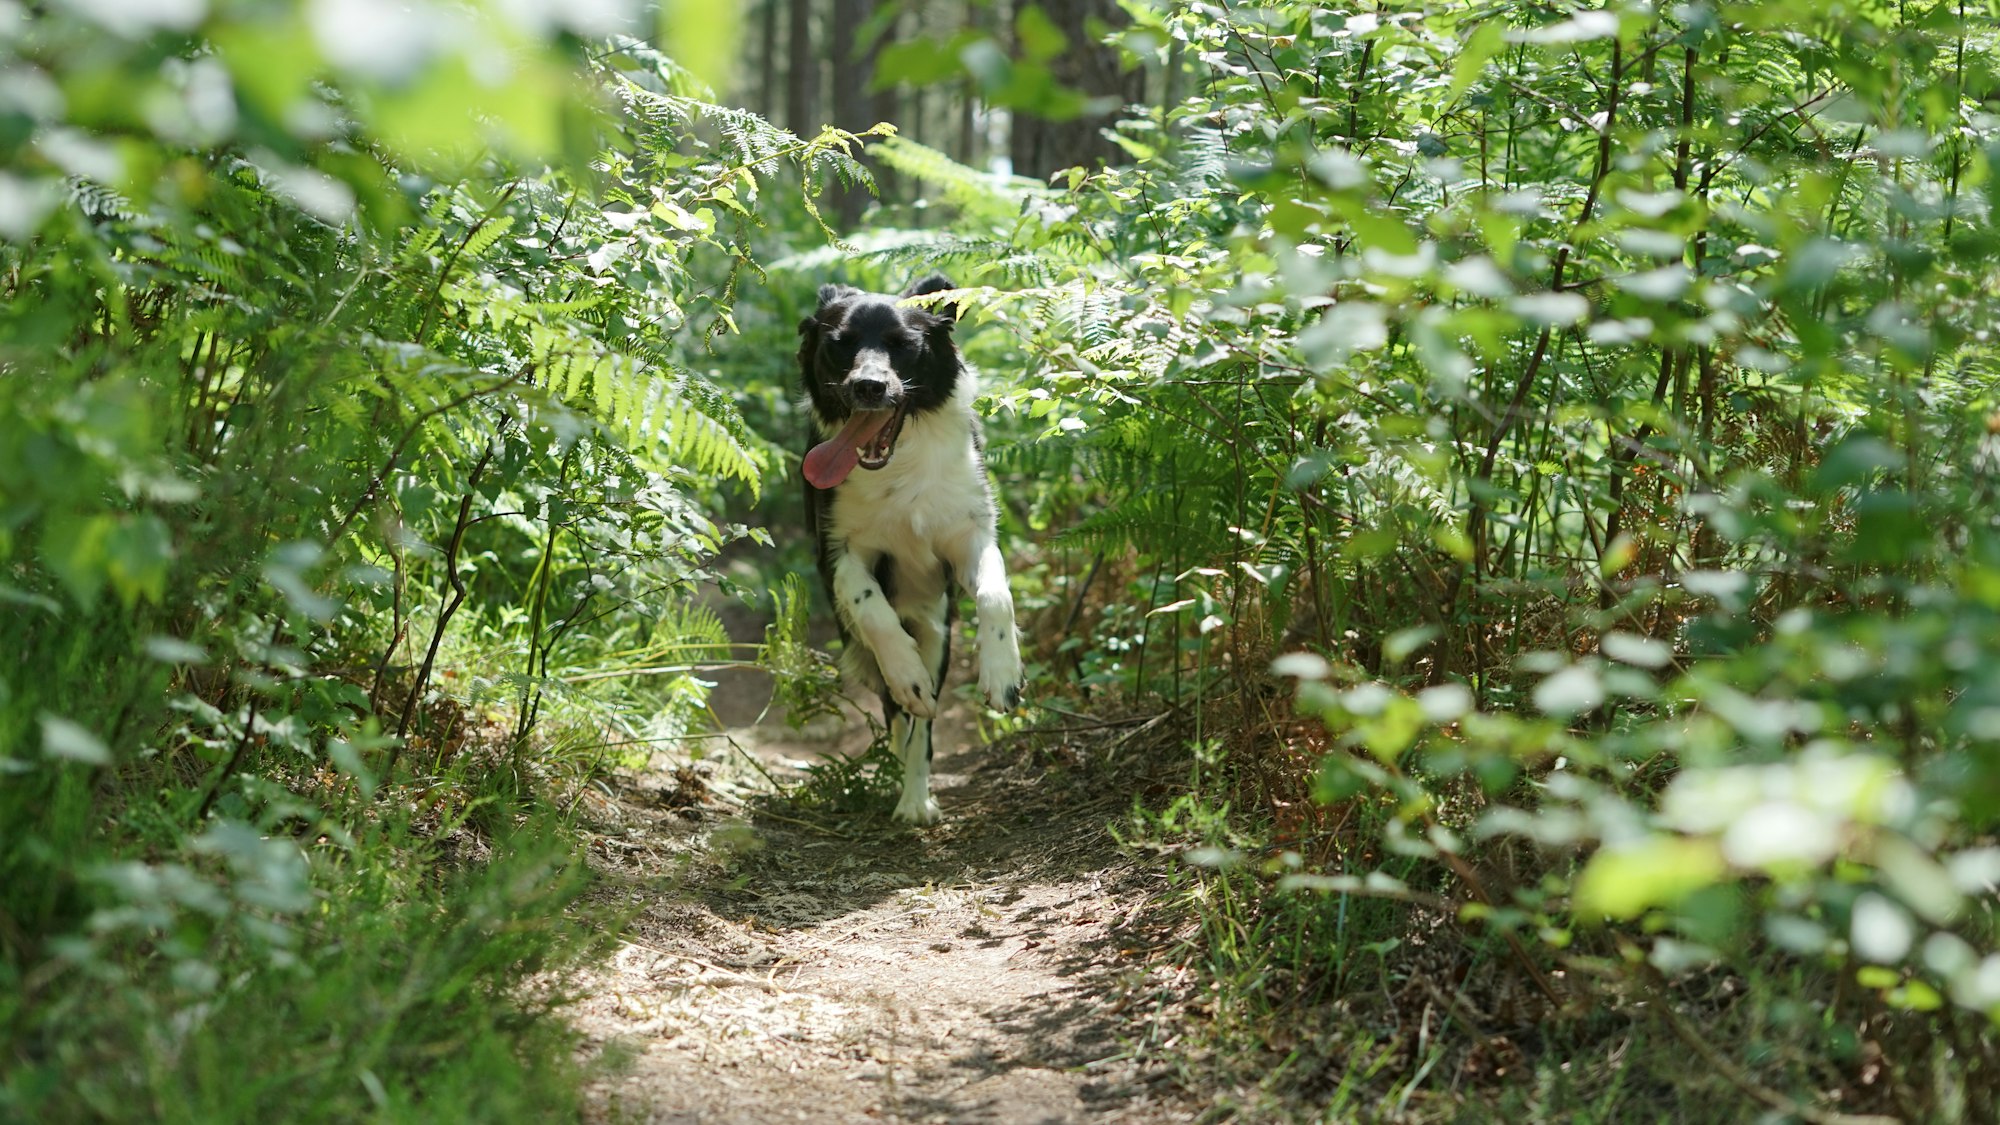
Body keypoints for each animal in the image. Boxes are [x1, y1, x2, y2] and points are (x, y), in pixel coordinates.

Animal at [796, 274, 1024, 820]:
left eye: (903, 345)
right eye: (840, 344)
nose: (868, 387)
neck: (898, 466)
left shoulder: (968, 537)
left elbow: (995, 595)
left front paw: (1003, 674)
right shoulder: (839, 554)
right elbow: (873, 610)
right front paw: (907, 674)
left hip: (938, 627)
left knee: (923, 723)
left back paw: (917, 799)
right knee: (901, 708)